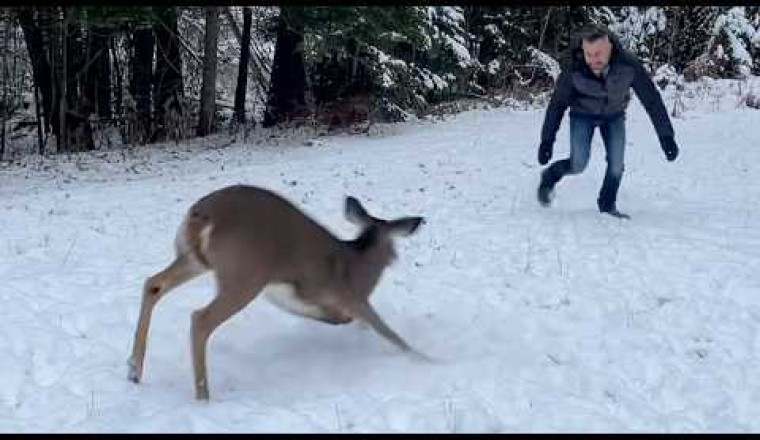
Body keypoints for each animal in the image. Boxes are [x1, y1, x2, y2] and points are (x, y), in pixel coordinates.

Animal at [127, 184, 427, 400]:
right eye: (394, 249)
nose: (395, 259)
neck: (357, 263)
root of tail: (203, 215)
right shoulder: (350, 297)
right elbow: (389, 332)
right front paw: (426, 360)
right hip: (245, 275)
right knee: (200, 319)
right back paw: (203, 395)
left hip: (195, 260)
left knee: (153, 284)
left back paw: (134, 370)